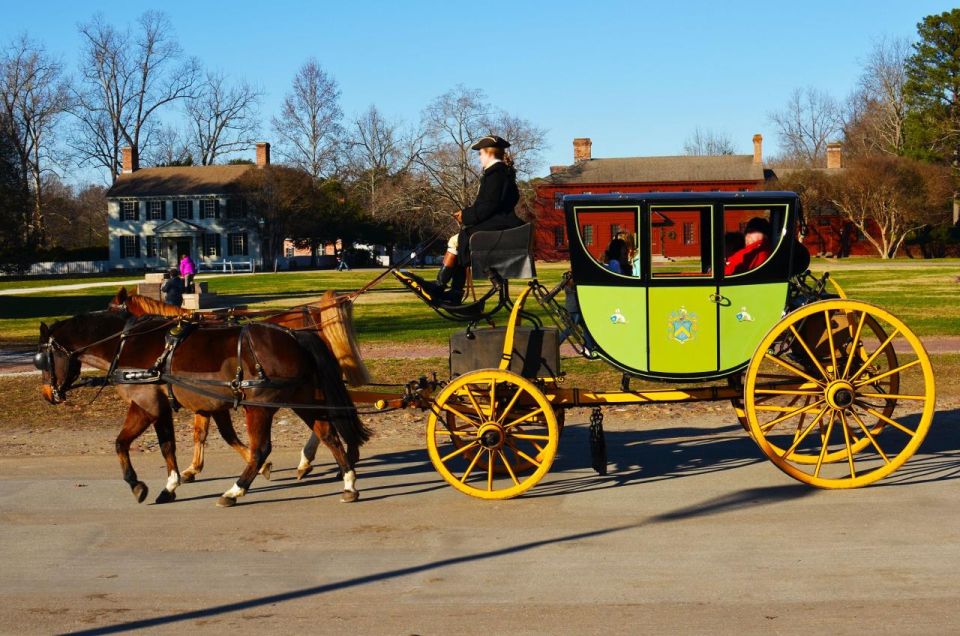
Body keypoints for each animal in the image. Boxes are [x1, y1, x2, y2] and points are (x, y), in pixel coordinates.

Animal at [37, 310, 370, 506]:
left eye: (41, 358)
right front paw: (171, 485)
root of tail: (296, 336)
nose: (48, 394)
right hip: (304, 399)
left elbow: (123, 443)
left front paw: (137, 485)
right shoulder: (169, 407)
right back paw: (349, 482)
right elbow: (169, 446)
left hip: (259, 407)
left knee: (262, 448)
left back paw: (235, 490)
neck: (127, 345)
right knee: (329, 435)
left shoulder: (145, 404)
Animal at [107, 286, 370, 480]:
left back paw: (323, 459)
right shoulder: (204, 398)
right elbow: (201, 433)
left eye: (110, 308)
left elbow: (209, 433)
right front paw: (194, 467)